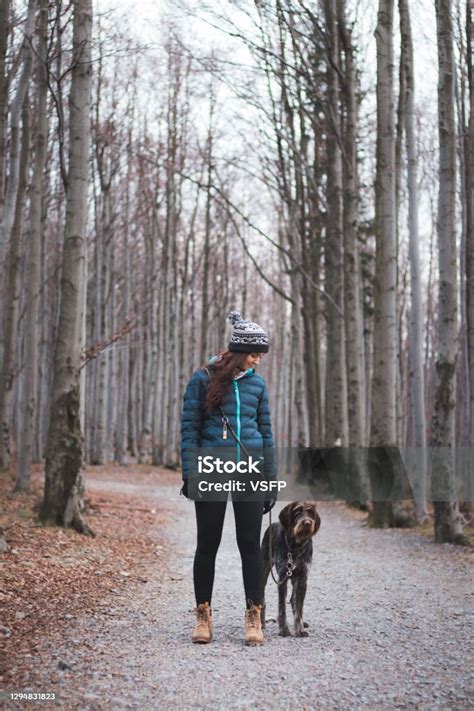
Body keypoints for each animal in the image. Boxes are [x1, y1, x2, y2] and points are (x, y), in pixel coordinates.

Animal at [260, 504, 322, 636]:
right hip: (264, 569)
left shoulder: (302, 578)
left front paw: (300, 630)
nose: (307, 522)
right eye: (297, 513)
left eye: (310, 513)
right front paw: (284, 630)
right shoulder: (282, 578)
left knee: (293, 600)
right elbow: (282, 606)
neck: (296, 545)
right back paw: (261, 623)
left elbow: (299, 606)